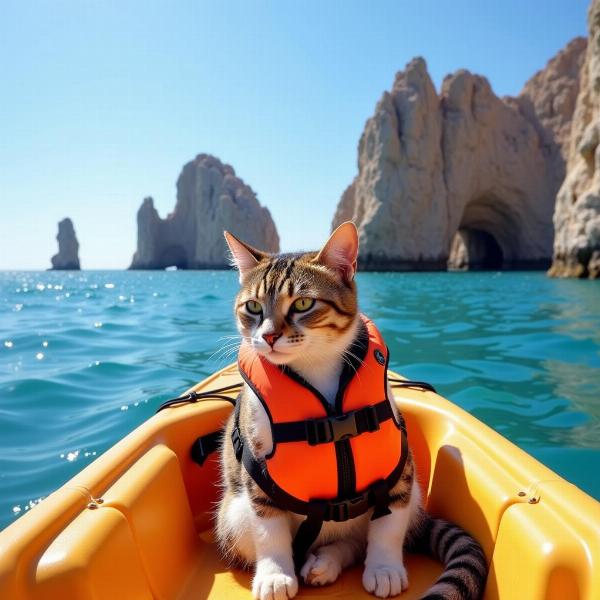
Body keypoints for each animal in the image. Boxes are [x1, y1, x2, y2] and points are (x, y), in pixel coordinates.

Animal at [216, 223, 488, 596]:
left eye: (303, 303)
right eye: (253, 306)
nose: (268, 336)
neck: (316, 372)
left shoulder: (398, 474)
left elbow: (388, 525)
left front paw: (385, 568)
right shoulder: (257, 472)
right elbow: (268, 529)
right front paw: (274, 575)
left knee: (356, 542)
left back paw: (327, 562)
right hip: (231, 515)